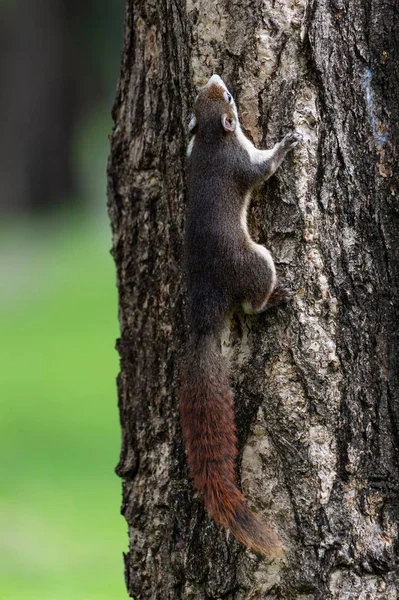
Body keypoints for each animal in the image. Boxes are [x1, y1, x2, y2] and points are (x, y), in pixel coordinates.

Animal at [180, 75, 302, 556]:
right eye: (229, 97)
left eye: (209, 94)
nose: (216, 77)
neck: (214, 142)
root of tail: (205, 320)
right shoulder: (242, 164)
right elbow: (262, 171)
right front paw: (286, 144)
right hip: (257, 263)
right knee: (251, 301)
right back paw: (274, 299)